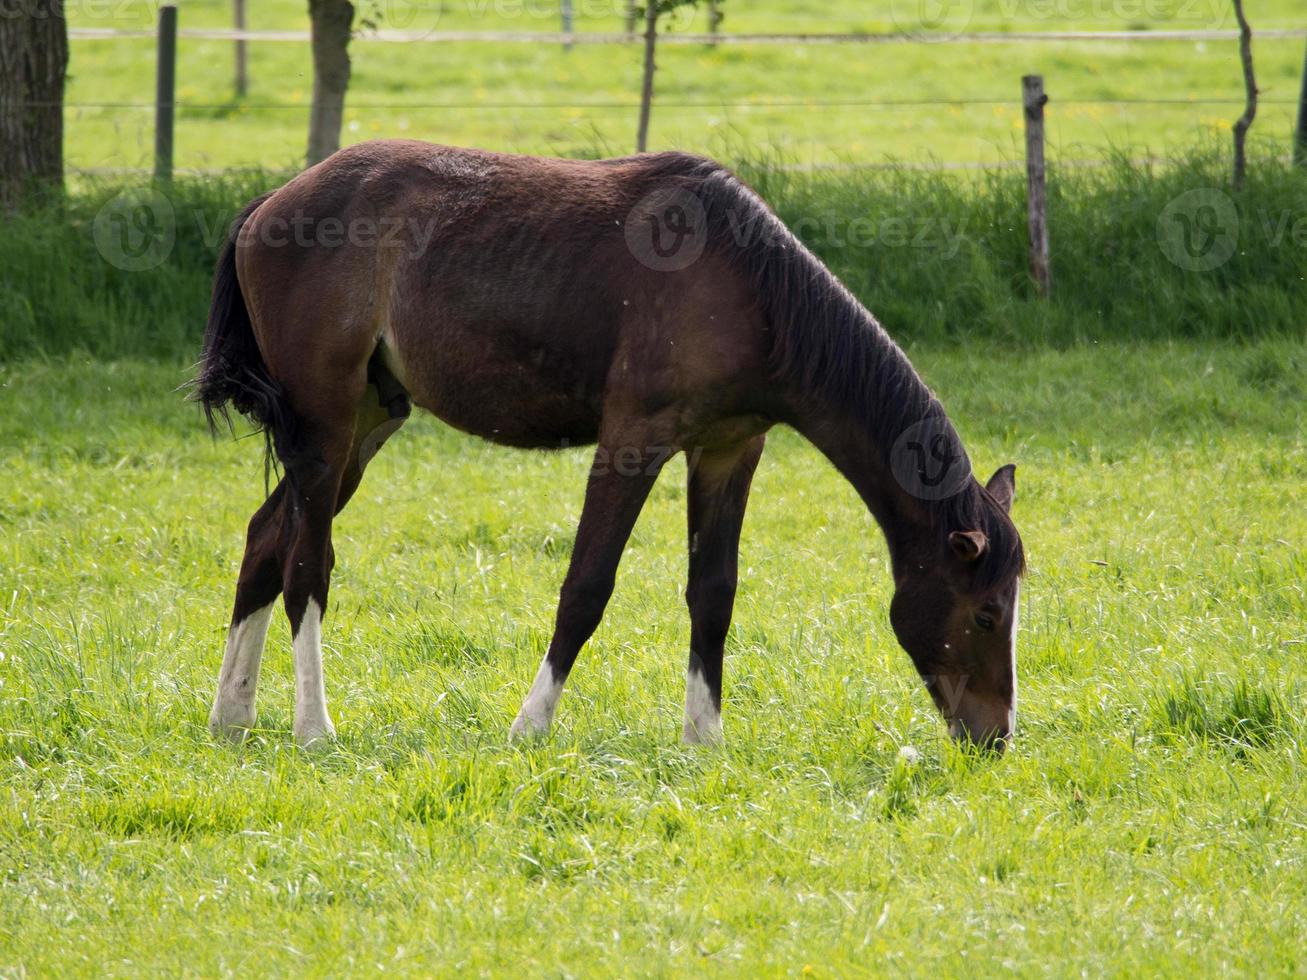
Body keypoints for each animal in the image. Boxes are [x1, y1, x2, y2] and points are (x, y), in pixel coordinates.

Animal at [198, 138, 1024, 752]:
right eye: (986, 614)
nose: (994, 738)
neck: (747, 284)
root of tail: (270, 207)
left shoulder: (727, 449)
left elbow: (712, 592)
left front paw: (703, 740)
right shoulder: (632, 441)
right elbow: (586, 587)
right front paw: (529, 727)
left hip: (368, 422)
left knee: (266, 538)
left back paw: (231, 716)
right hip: (327, 423)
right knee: (307, 564)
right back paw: (313, 726)